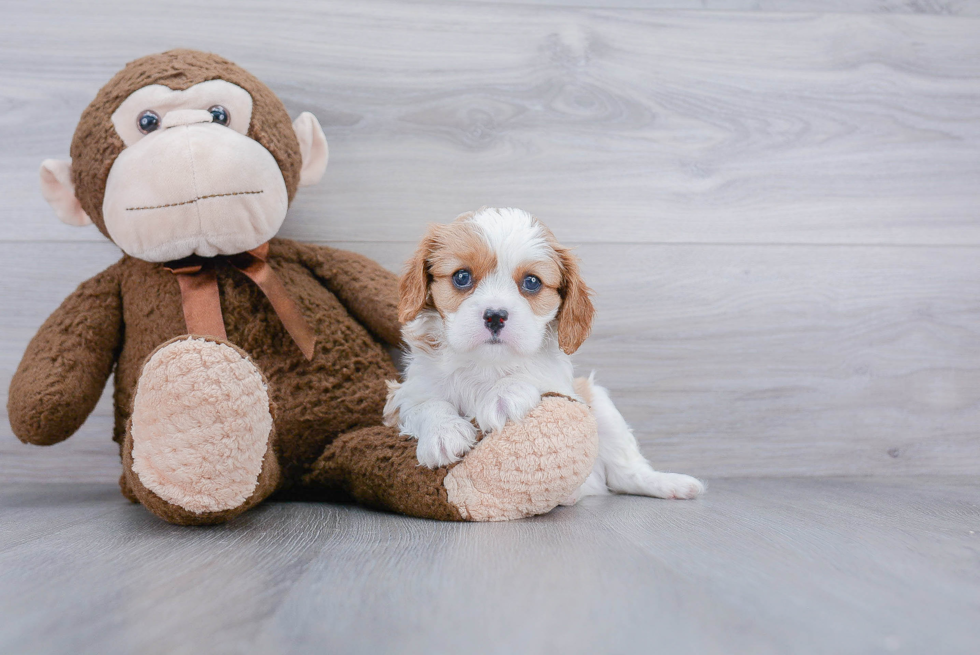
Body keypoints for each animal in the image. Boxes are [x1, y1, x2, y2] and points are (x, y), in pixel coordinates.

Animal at [384, 208, 704, 500]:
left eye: (532, 282)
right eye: (462, 277)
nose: (495, 316)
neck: (486, 364)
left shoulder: (565, 389)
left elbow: (532, 374)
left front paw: (503, 395)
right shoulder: (403, 397)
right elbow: (426, 404)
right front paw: (443, 432)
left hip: (600, 403)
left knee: (625, 472)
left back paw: (672, 484)